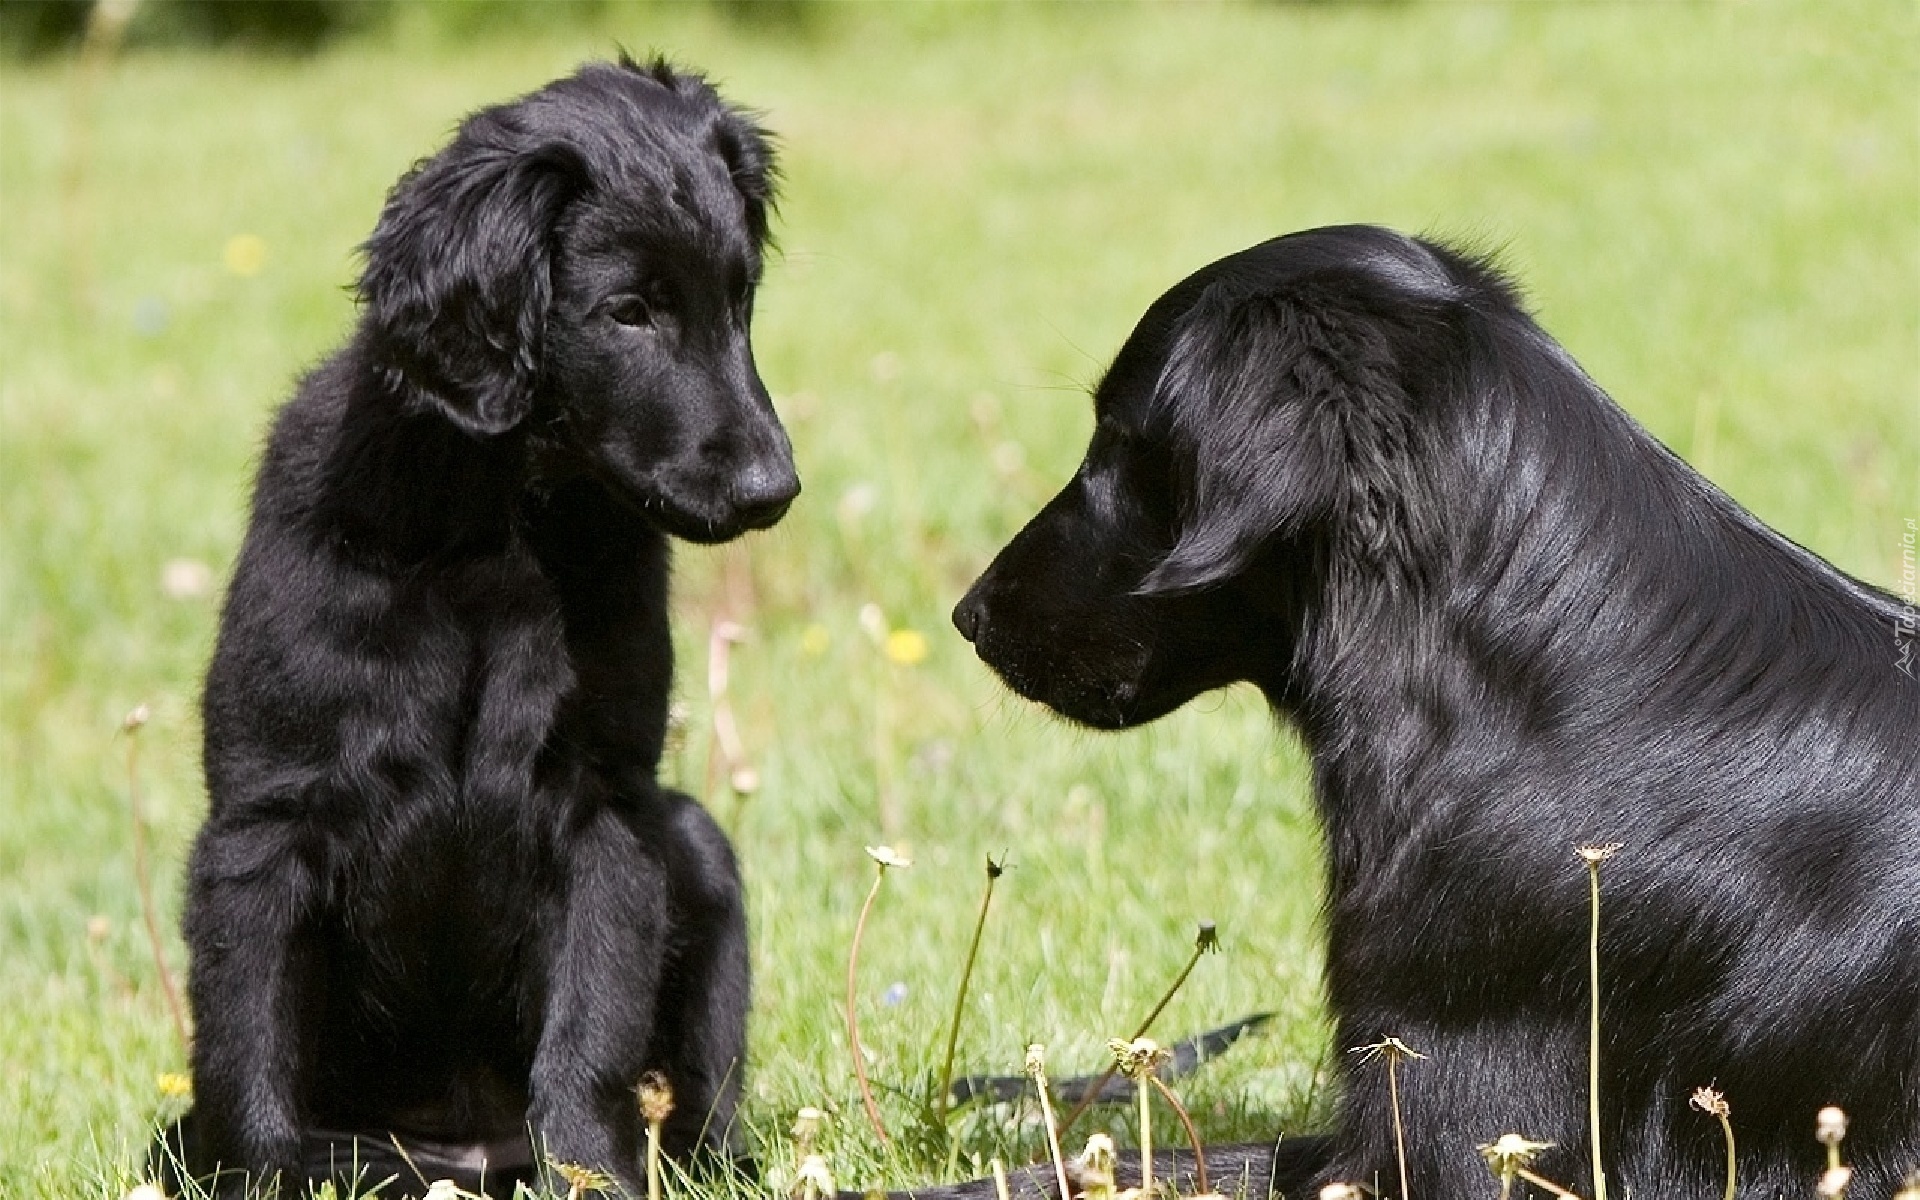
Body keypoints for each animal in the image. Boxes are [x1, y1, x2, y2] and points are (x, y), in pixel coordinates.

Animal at [167, 58, 794, 1198]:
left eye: (741, 297)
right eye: (629, 311)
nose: (775, 488)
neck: (496, 532)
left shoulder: (609, 814)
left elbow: (588, 1037)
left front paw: (593, 1174)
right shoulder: (264, 824)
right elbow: (247, 1040)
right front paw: (268, 1173)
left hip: (697, 841)